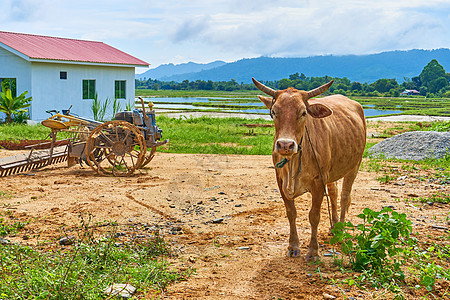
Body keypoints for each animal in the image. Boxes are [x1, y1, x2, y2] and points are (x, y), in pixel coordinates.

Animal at [253, 78, 366, 262]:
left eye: (303, 112)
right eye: (274, 112)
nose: (285, 145)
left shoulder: (318, 182)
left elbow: (314, 216)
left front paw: (313, 251)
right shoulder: (280, 180)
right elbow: (291, 213)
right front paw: (293, 247)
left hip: (354, 165)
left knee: (344, 197)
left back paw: (341, 229)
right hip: (333, 172)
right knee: (334, 194)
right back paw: (334, 226)